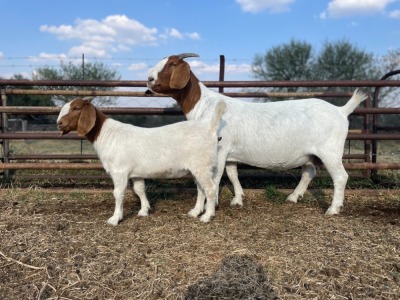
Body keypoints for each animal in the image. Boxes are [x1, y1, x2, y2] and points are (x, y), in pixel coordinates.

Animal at [56, 97, 227, 224]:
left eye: (76, 108)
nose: (59, 123)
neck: (107, 134)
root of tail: (210, 129)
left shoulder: (119, 171)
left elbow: (118, 193)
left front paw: (114, 219)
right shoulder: (136, 173)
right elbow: (140, 190)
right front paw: (144, 211)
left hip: (202, 165)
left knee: (210, 188)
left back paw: (207, 216)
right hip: (198, 167)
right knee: (200, 188)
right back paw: (195, 212)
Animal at [147, 52, 368, 214]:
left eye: (172, 64)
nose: (148, 79)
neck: (204, 105)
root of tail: (341, 111)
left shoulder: (219, 148)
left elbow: (216, 177)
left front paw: (213, 203)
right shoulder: (230, 153)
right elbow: (232, 174)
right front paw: (237, 199)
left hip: (330, 151)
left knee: (340, 176)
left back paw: (333, 209)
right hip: (310, 153)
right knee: (309, 172)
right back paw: (293, 197)